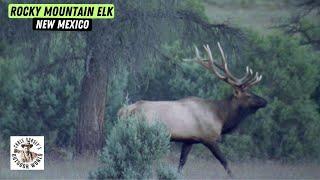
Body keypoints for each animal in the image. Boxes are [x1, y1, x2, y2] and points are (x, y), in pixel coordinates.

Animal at [117, 43, 268, 176]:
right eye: (248, 95)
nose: (265, 101)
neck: (221, 117)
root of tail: (122, 112)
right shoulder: (209, 138)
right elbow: (225, 162)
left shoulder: (189, 140)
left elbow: (181, 164)